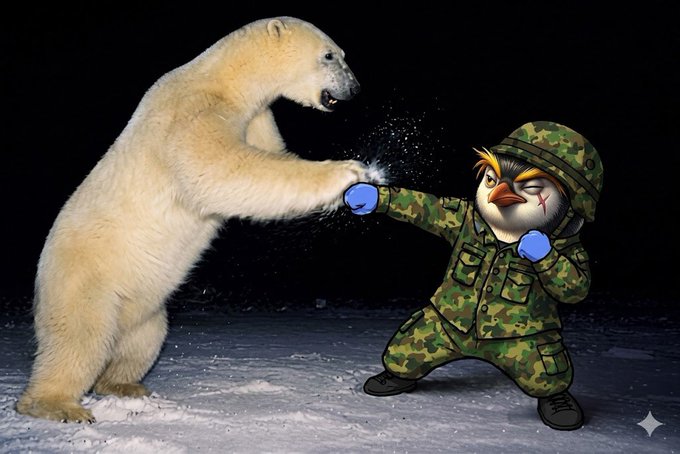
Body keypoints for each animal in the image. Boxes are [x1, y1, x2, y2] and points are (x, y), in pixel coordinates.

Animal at [17, 16, 374, 423]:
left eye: (342, 54)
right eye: (330, 55)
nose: (354, 89)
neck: (225, 80)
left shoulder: (255, 118)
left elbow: (271, 156)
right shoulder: (189, 114)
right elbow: (224, 171)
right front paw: (348, 173)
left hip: (143, 309)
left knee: (142, 342)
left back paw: (125, 385)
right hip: (84, 281)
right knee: (78, 340)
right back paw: (58, 404)